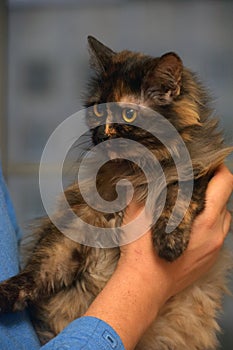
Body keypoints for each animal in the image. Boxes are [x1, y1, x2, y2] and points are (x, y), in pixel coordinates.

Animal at [0, 37, 233, 348]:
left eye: (129, 114)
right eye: (98, 110)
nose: (102, 134)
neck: (135, 171)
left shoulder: (202, 170)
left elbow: (176, 194)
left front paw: (168, 243)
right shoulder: (76, 224)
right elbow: (40, 271)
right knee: (36, 276)